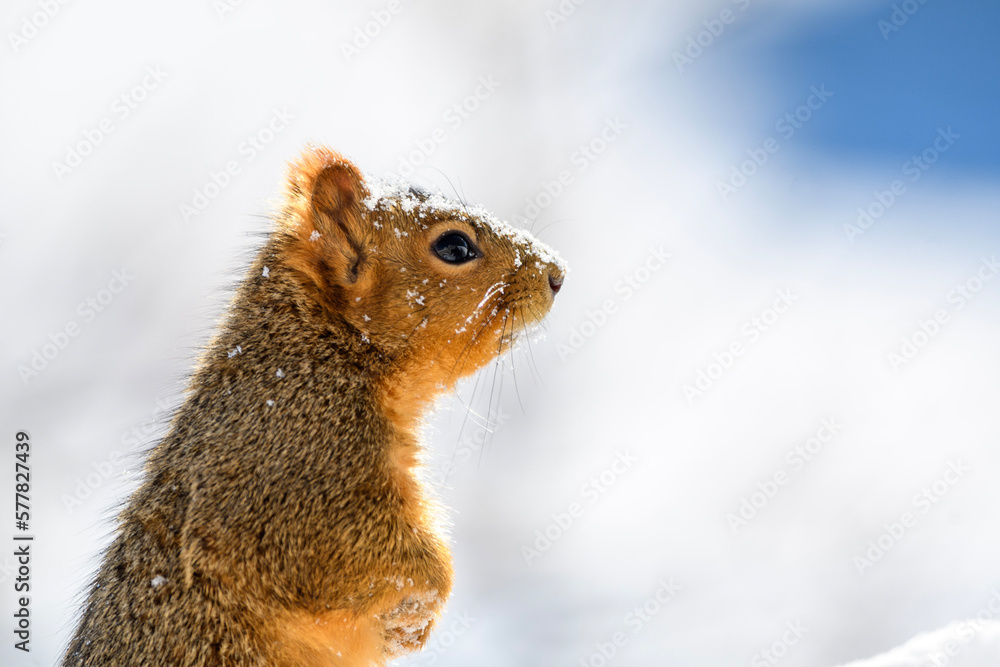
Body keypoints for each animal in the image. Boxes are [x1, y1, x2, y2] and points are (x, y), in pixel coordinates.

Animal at [62, 145, 566, 666]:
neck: (323, 349)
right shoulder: (294, 472)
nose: (557, 273)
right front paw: (420, 607)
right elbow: (339, 557)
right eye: (455, 247)